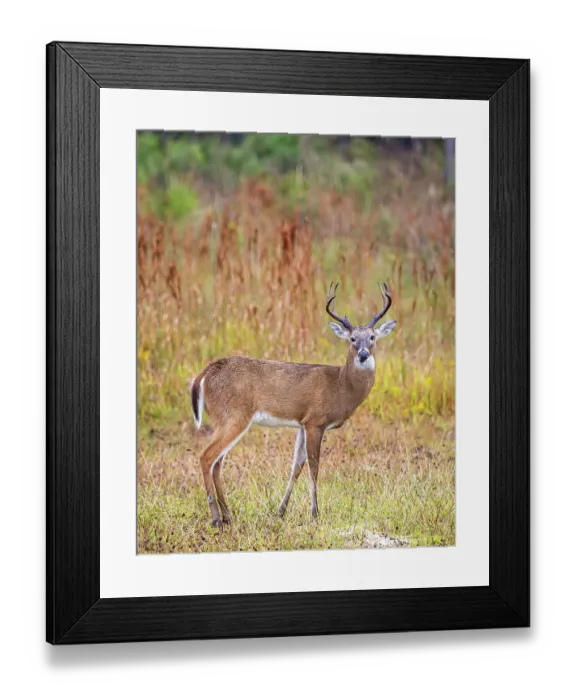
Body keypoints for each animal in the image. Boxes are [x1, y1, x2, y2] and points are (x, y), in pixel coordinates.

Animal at [190, 282, 397, 529]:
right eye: (352, 339)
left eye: (373, 337)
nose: (364, 355)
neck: (340, 385)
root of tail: (205, 373)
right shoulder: (315, 422)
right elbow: (314, 467)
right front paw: (315, 513)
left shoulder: (302, 423)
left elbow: (296, 467)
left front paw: (281, 511)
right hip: (233, 416)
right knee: (206, 457)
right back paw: (215, 518)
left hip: (227, 419)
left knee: (217, 463)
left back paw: (228, 516)